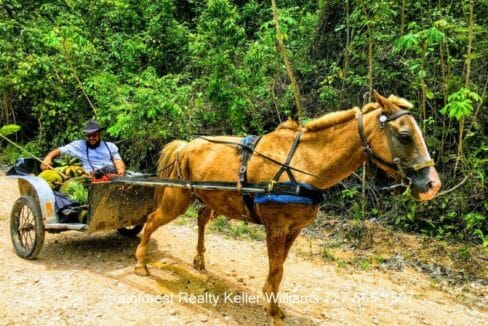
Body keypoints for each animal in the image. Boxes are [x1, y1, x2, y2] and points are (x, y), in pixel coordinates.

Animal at [134, 91, 442, 324]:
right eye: (405, 136)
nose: (432, 184)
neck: (303, 165)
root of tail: (186, 145)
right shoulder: (276, 227)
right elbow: (276, 270)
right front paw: (272, 311)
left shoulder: (294, 230)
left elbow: (279, 269)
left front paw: (274, 305)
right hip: (177, 198)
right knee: (151, 220)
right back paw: (140, 262)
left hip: (210, 197)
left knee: (200, 219)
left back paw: (198, 259)